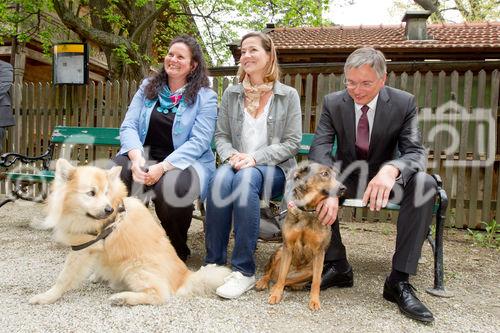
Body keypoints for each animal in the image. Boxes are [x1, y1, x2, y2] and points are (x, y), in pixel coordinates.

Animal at [32, 158, 231, 304]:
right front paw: (96, 275)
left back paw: (122, 298)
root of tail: (185, 277)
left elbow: (63, 277)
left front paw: (46, 297)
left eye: (106, 192)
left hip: (135, 267)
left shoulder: (82, 249)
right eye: (91, 193)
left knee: (159, 295)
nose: (109, 210)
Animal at [256, 161, 346, 308]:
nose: (343, 188)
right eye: (324, 174)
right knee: (272, 274)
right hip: (279, 252)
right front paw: (276, 295)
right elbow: (281, 276)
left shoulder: (319, 253)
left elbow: (316, 282)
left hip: (309, 271)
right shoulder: (287, 247)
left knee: (287, 280)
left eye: (335, 175)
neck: (307, 211)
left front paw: (314, 301)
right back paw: (263, 282)